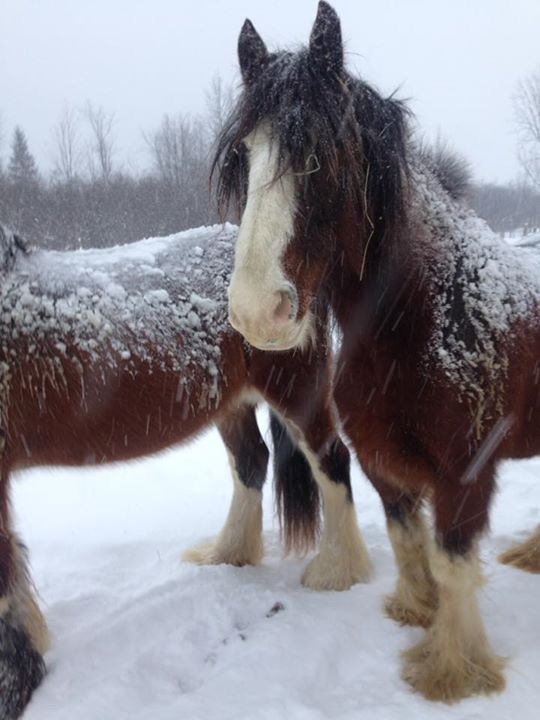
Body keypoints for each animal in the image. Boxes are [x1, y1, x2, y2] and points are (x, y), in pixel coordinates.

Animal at [0, 222, 372, 716]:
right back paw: (228, 554)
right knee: (251, 462)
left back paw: (338, 572)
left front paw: (16, 683)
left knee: (331, 461)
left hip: (297, 388)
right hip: (231, 403)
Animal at [213, 0, 540, 704]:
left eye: (320, 154)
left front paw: (452, 670)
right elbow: (407, 539)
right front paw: (415, 612)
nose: (256, 312)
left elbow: (451, 561)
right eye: (242, 157)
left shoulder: (465, 475)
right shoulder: (380, 459)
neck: (420, 323)